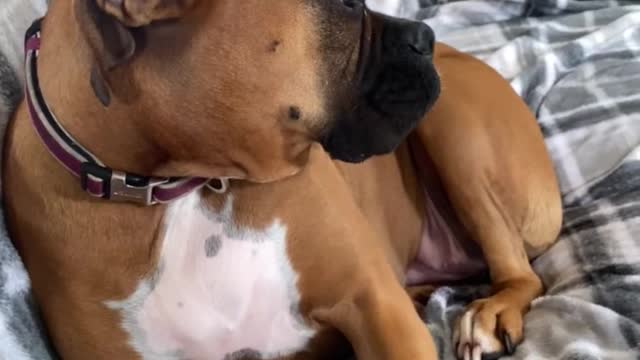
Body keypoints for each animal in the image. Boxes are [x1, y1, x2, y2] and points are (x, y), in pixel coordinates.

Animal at [5, 0, 564, 360]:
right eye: (344, 3)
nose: (424, 37)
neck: (181, 185)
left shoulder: (376, 306)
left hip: (452, 123)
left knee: (524, 275)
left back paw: (490, 314)